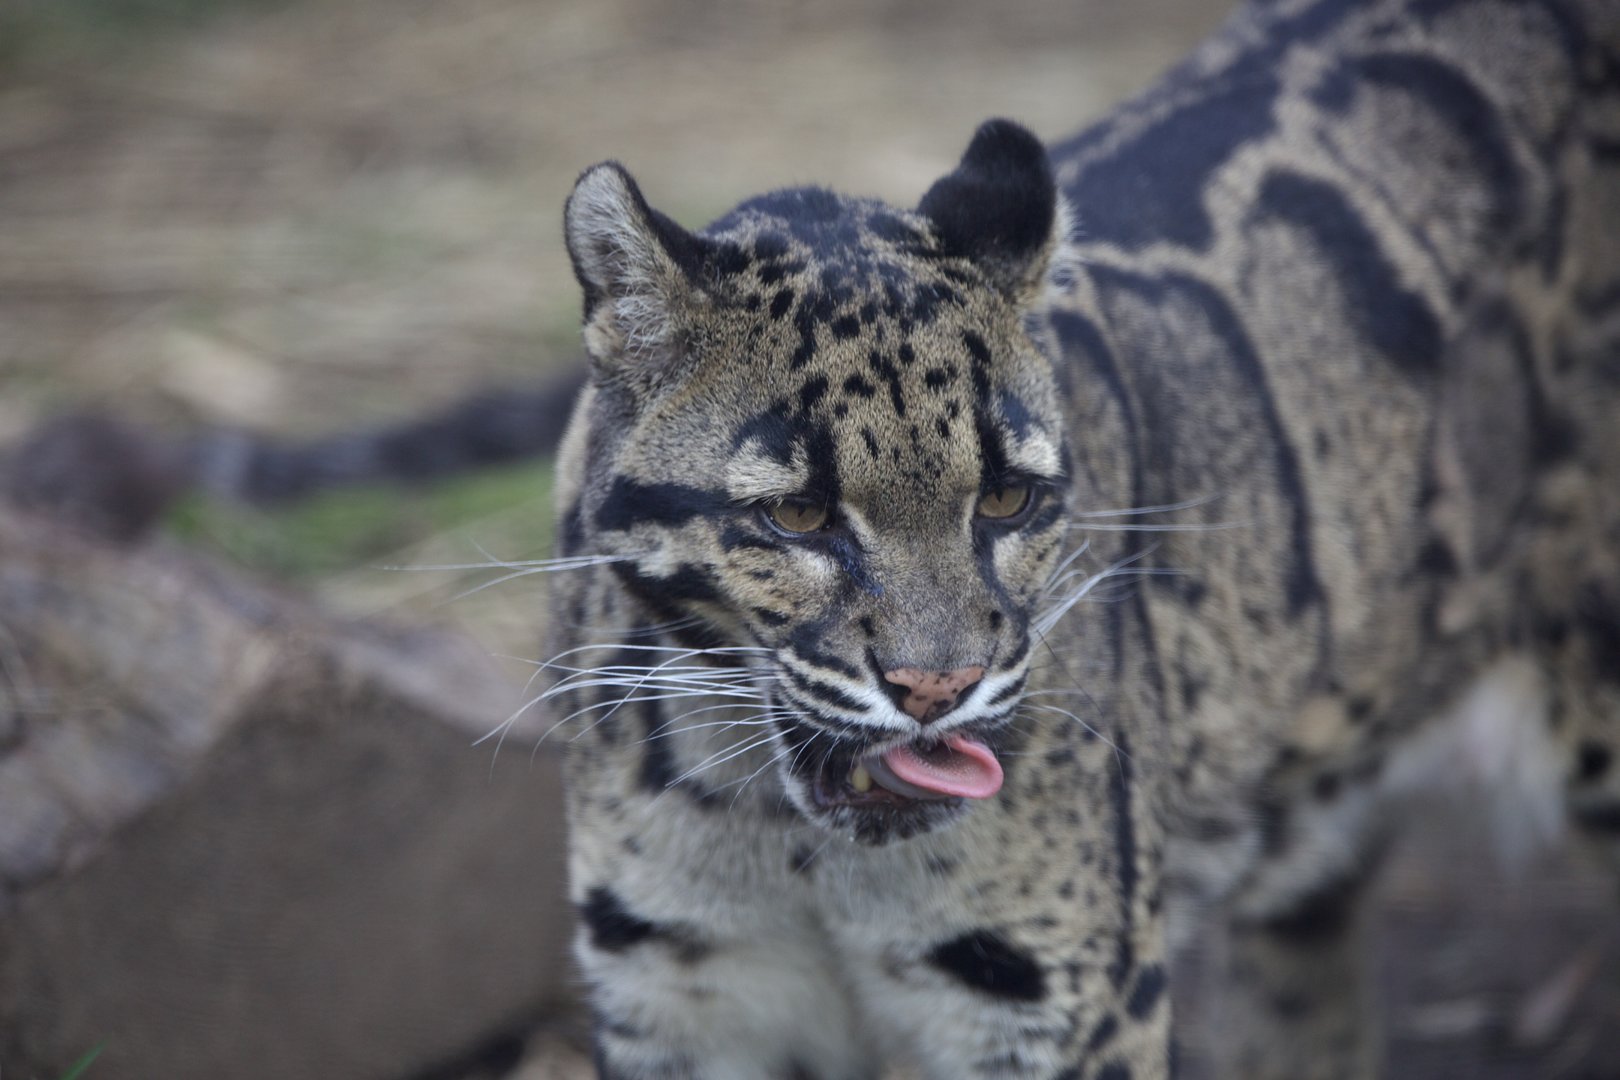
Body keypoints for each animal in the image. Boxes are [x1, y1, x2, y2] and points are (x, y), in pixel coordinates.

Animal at [541, 1, 1620, 1077]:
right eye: (796, 514)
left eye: (1007, 500)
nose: (938, 688)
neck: (790, 843)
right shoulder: (673, 998)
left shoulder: (1061, 1010)